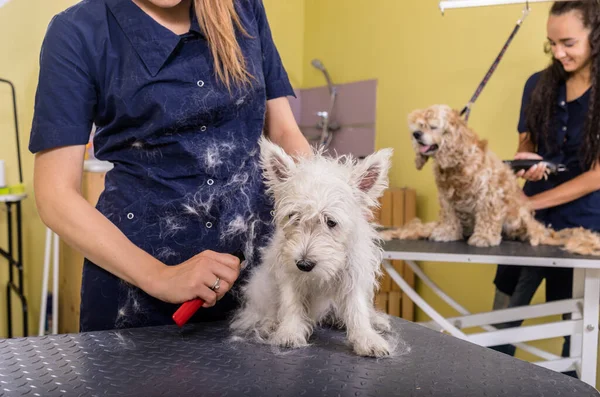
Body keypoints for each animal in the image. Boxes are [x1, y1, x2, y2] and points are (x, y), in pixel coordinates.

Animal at [230, 136, 394, 356]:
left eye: (331, 222)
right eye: (294, 217)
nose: (304, 264)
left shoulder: (354, 273)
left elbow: (357, 307)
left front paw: (367, 338)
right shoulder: (288, 272)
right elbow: (291, 303)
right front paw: (290, 332)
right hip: (263, 287)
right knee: (264, 309)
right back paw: (270, 324)